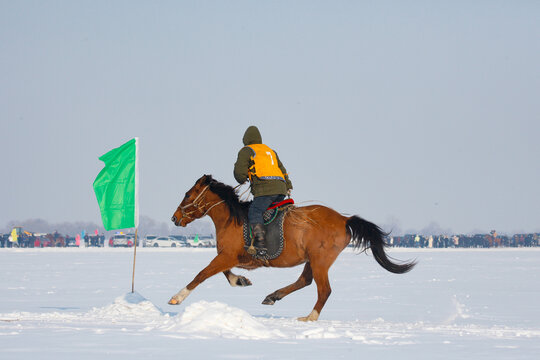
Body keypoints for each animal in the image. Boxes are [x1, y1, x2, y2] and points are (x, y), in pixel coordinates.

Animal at [171, 174, 416, 320]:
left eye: (187, 194)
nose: (175, 218)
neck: (233, 219)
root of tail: (344, 219)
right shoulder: (230, 257)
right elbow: (222, 273)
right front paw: (240, 280)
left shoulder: (228, 255)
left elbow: (202, 274)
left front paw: (177, 297)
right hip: (312, 260)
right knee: (305, 280)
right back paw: (273, 296)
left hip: (320, 260)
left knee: (323, 290)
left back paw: (309, 317)